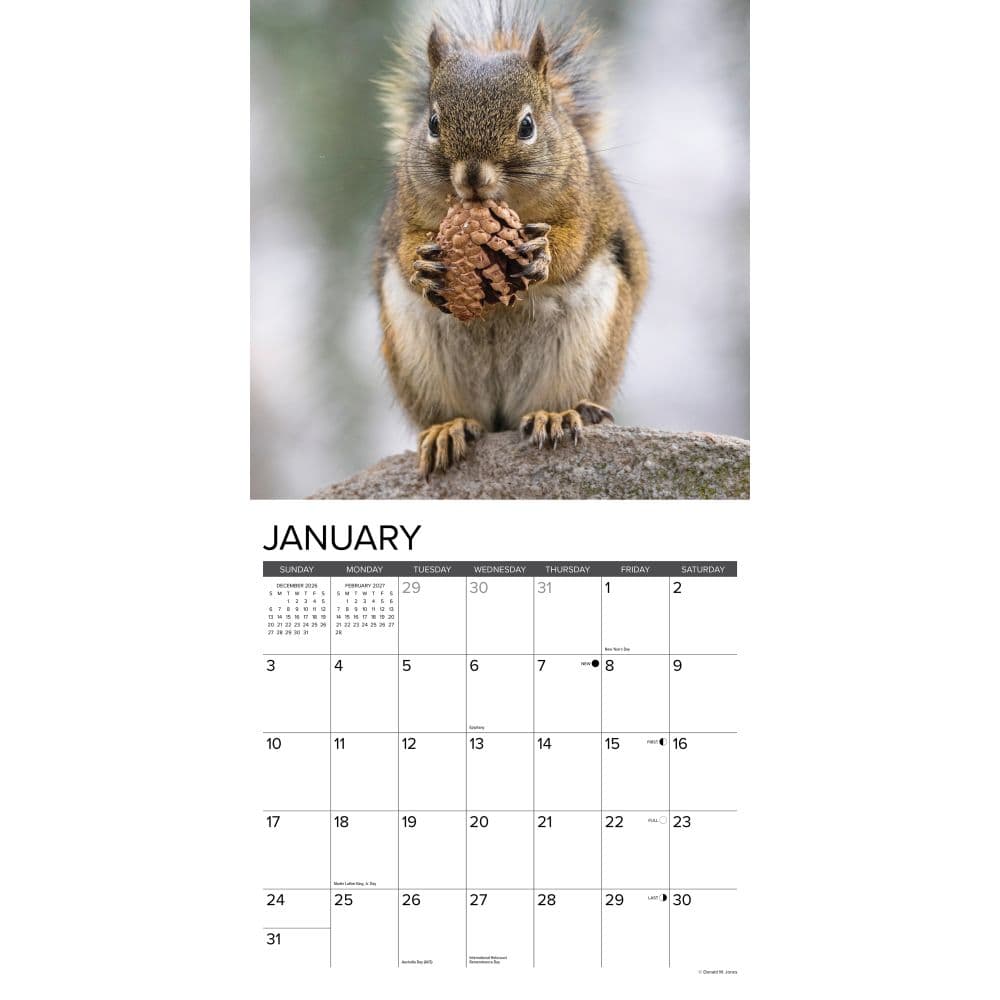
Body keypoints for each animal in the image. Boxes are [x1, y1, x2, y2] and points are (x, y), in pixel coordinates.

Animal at [374, 1, 648, 477]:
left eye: (527, 126)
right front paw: (424, 267)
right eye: (432, 123)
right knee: (459, 415)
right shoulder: (404, 214)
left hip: (584, 352)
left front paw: (543, 254)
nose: (472, 178)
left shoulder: (586, 207)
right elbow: (406, 246)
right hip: (418, 361)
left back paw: (555, 415)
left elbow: (575, 246)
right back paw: (448, 428)